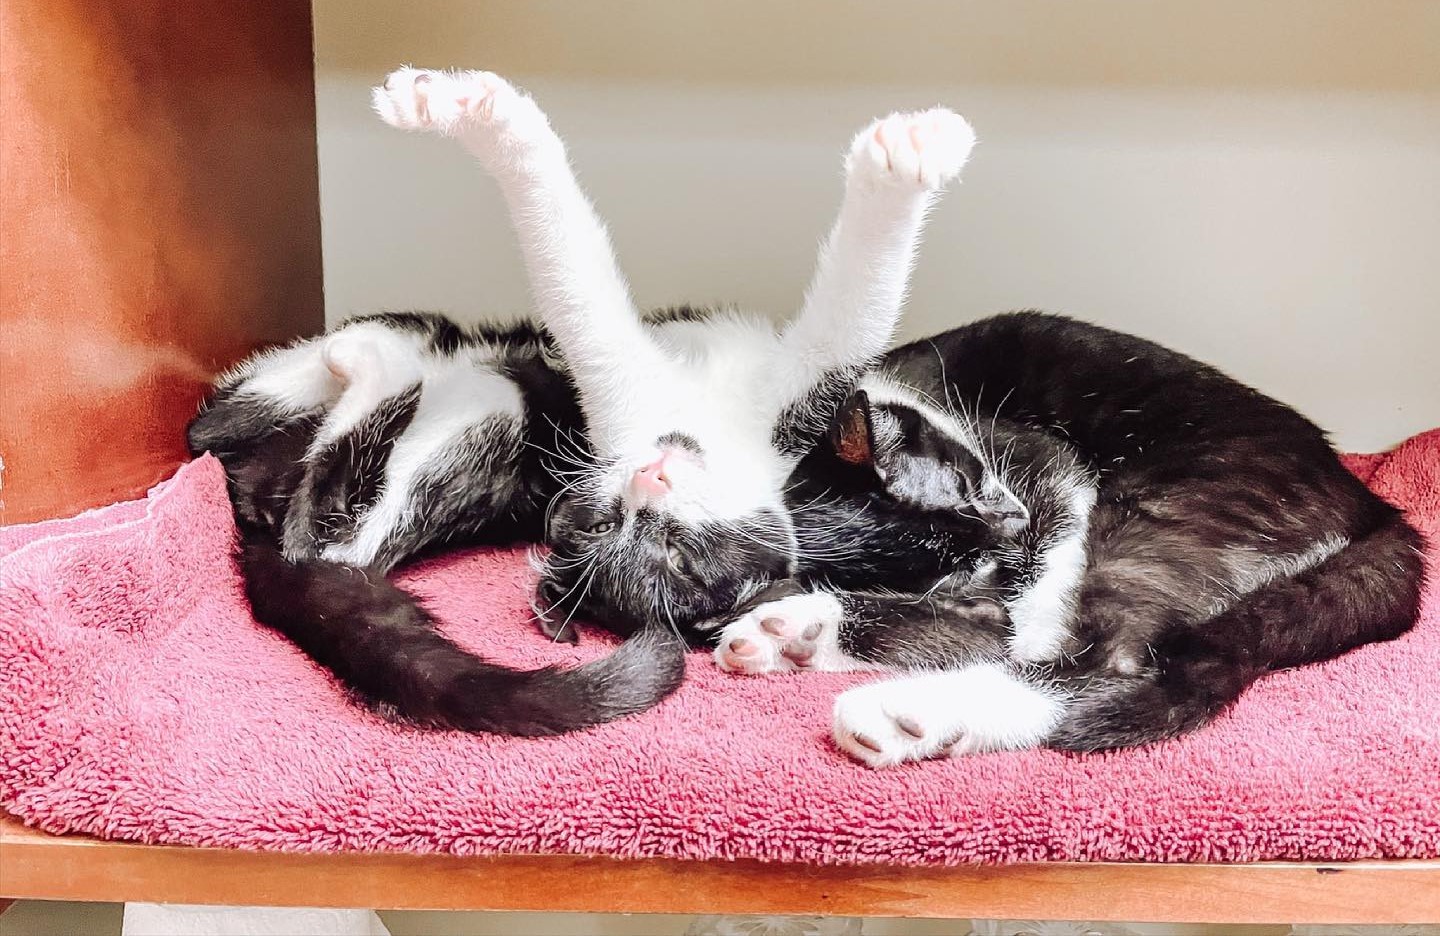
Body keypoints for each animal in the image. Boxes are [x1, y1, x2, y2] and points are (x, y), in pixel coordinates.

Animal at [188, 69, 979, 731]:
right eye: (608, 523)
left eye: (679, 557)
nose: (650, 477)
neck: (704, 427)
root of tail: (246, 513)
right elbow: (574, 268)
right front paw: (473, 108)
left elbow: (848, 321)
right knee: (280, 478)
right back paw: (363, 359)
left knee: (310, 514)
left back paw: (362, 368)